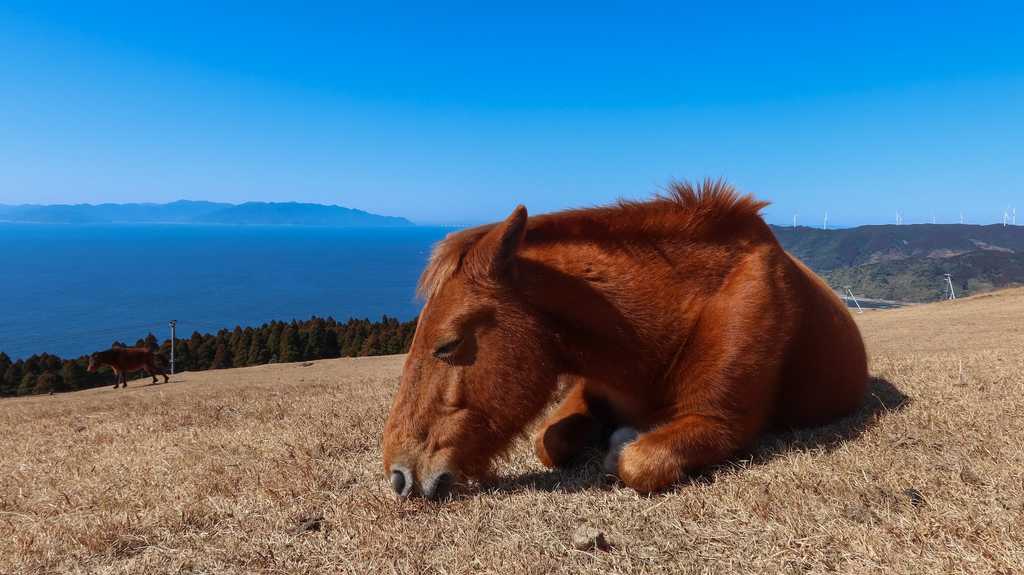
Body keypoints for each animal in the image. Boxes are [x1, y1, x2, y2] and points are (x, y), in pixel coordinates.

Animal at [382, 180, 868, 500]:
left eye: (447, 345)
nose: (398, 476)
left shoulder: (722, 424)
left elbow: (636, 461)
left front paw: (621, 445)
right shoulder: (582, 391)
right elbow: (548, 441)